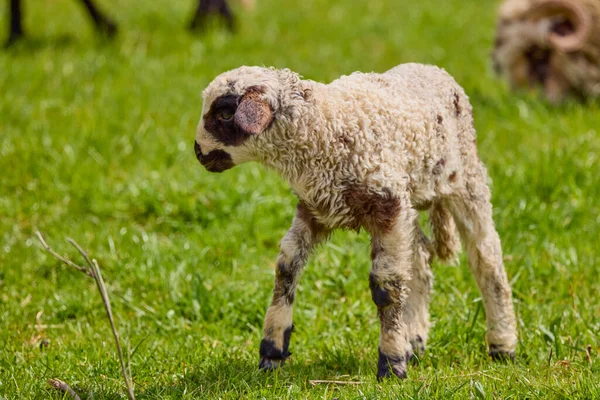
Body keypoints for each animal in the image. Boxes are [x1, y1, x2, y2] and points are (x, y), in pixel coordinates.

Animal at [195, 64, 516, 380]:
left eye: (225, 113)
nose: (198, 153)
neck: (323, 128)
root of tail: (434, 69)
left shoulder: (388, 208)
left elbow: (386, 286)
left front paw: (391, 365)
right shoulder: (314, 208)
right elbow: (286, 268)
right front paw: (272, 351)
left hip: (466, 180)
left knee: (486, 257)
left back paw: (502, 345)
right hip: (409, 200)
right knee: (419, 262)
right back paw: (414, 341)